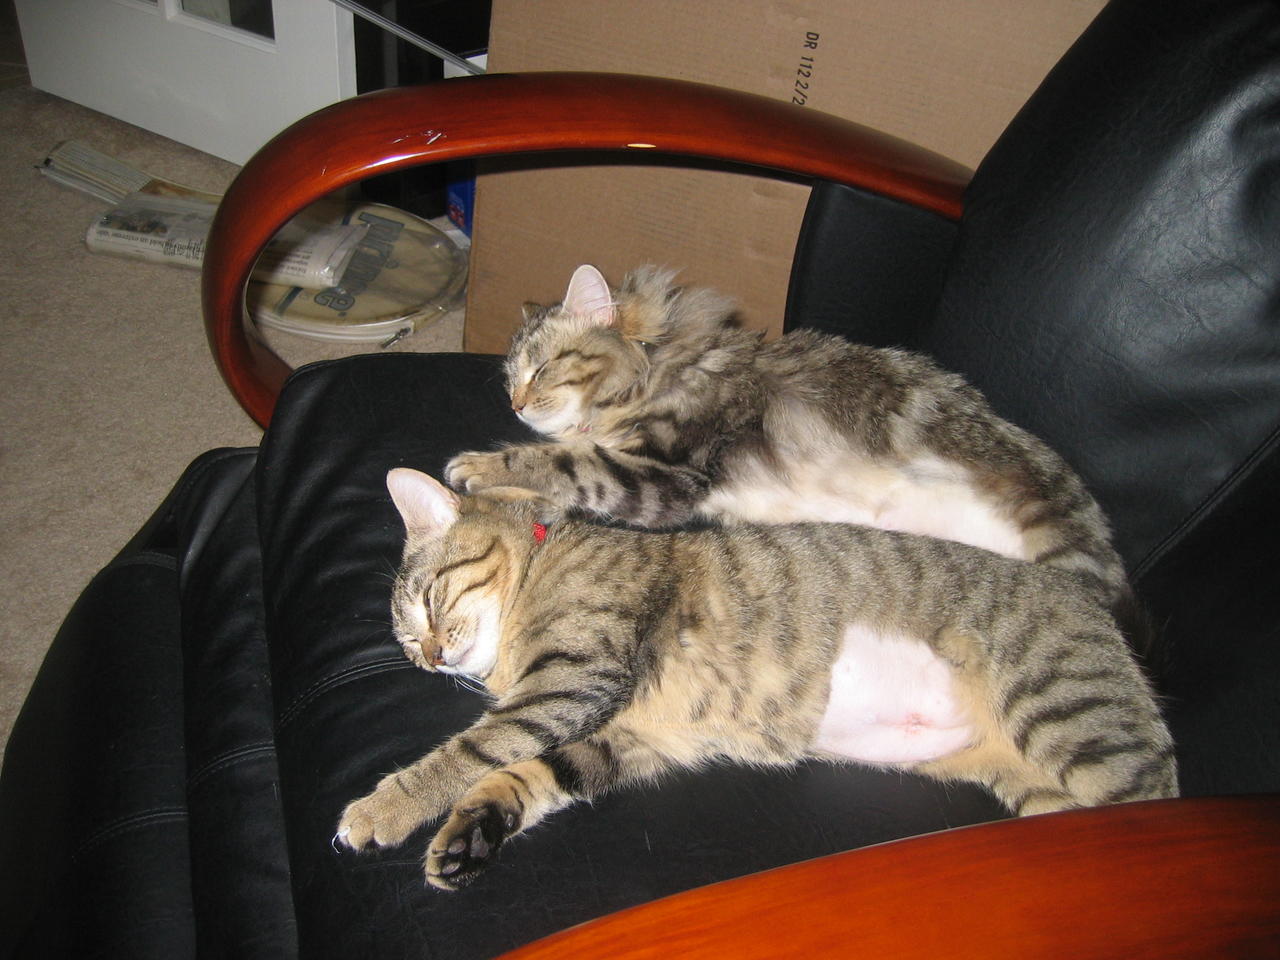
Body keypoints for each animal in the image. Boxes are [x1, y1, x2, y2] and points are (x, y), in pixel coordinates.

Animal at [335, 471, 1172, 890]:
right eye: (404, 644)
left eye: (426, 601)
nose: (428, 657)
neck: (546, 555)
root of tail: (1096, 608)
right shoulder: (630, 737)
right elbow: (529, 774)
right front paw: (471, 834)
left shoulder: (574, 677)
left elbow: (470, 751)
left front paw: (381, 809)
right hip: (1036, 785)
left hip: (1071, 719)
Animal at [445, 267, 1136, 632]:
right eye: (507, 379)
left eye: (542, 369)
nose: (516, 404)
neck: (652, 369)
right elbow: (559, 475)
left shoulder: (667, 472)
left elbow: (558, 462)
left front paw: (476, 465)